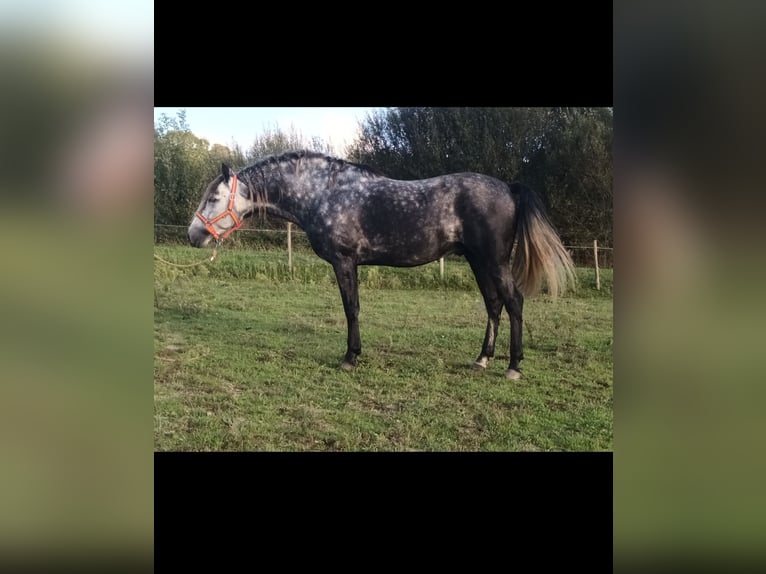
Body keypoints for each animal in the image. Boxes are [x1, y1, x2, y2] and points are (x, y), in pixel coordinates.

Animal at [188, 151, 576, 380]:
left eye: (214, 197)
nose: (193, 235)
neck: (324, 193)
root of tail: (509, 188)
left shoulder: (345, 261)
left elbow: (351, 308)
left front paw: (350, 357)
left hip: (493, 261)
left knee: (513, 302)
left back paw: (513, 366)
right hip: (478, 261)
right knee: (494, 305)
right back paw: (482, 359)